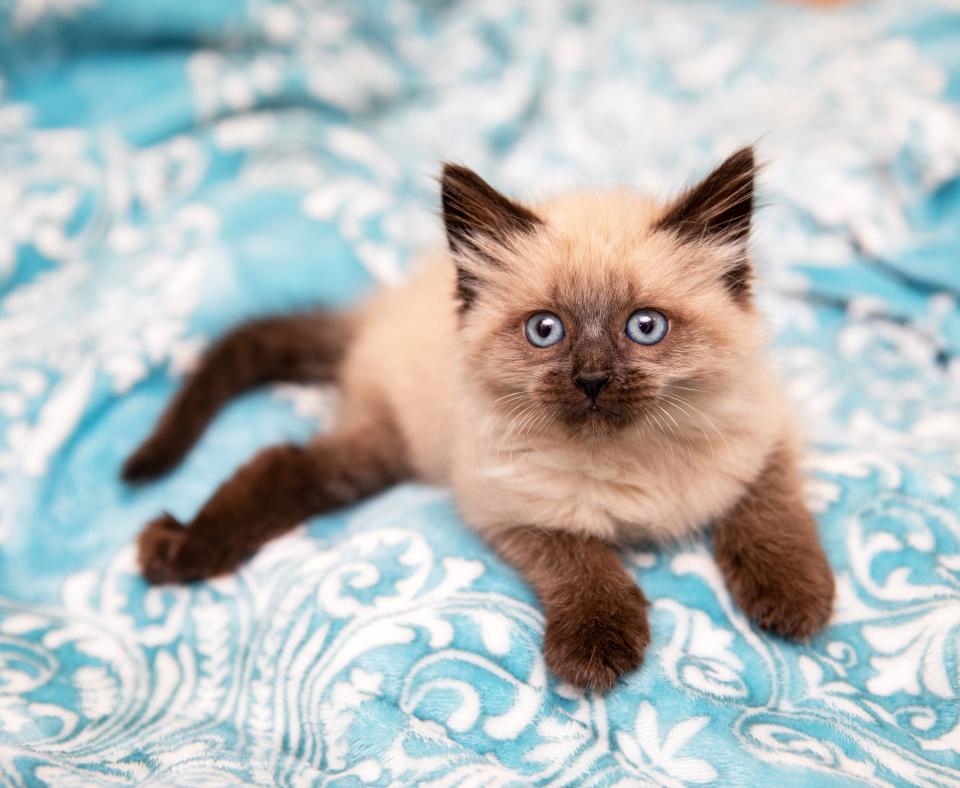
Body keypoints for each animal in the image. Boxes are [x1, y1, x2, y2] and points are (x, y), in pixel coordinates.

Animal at [125, 148, 832, 688]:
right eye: (546, 331)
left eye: (645, 327)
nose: (592, 380)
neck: (627, 449)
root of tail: (377, 311)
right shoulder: (505, 503)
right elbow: (583, 559)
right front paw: (596, 645)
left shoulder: (765, 427)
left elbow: (767, 508)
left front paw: (795, 597)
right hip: (388, 446)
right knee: (285, 464)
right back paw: (179, 550)